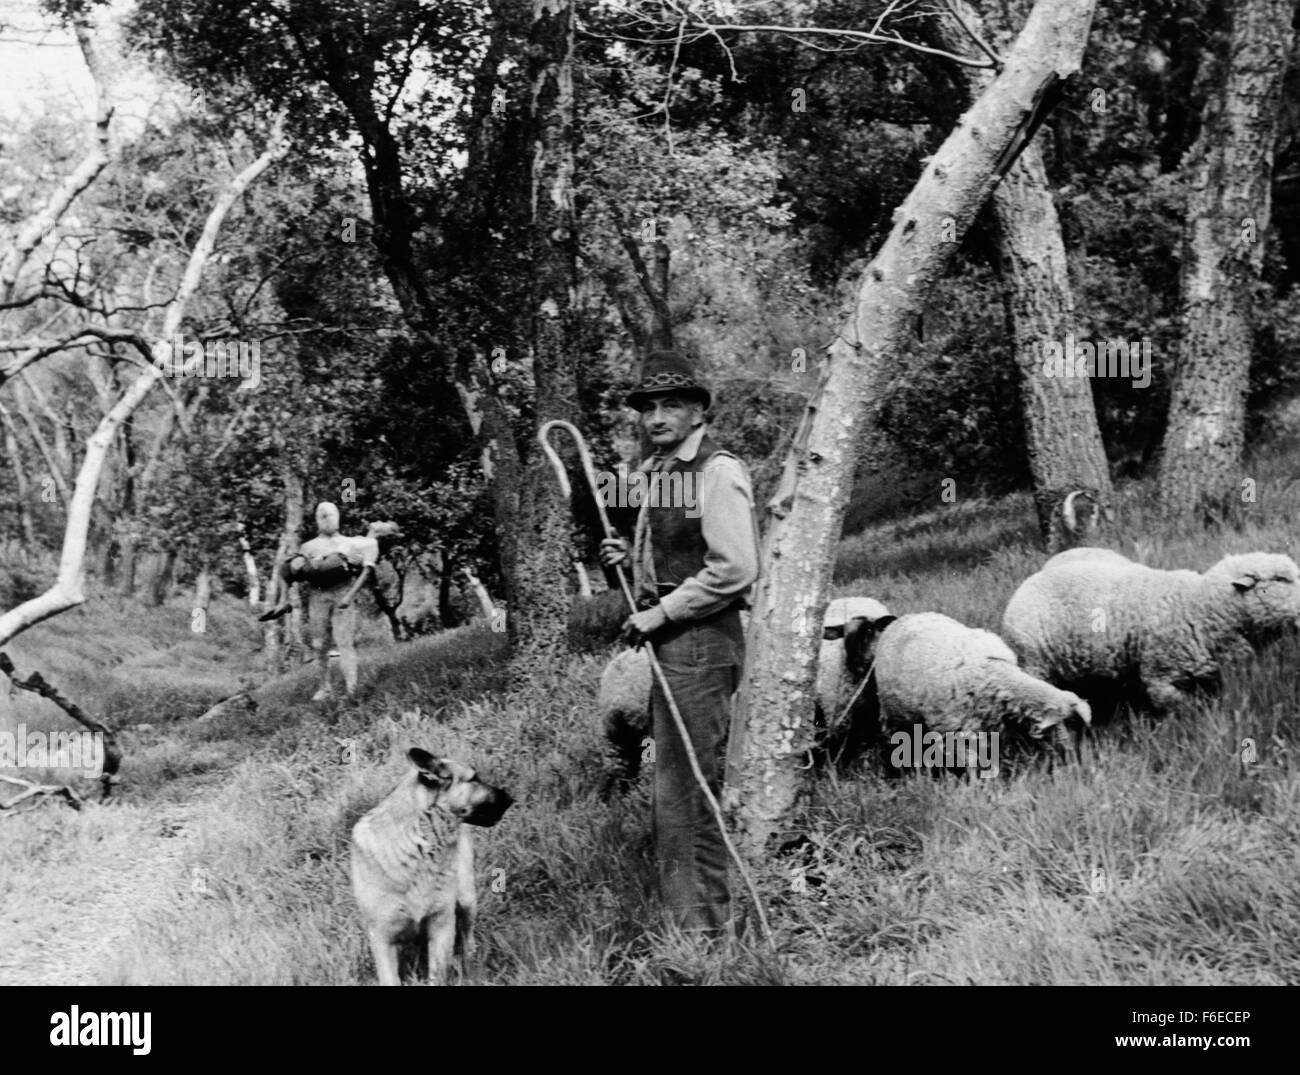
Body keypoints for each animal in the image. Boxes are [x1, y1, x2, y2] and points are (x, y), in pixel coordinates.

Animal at [351, 748, 512, 982]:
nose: (511, 799)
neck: (417, 842)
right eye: (474, 778)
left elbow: (438, 975)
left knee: (467, 937)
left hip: (466, 900)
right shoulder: (382, 938)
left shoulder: (441, 925)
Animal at [868, 613, 1092, 759]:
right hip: (892, 712)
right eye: (1064, 725)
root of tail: (904, 618)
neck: (996, 674)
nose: (1072, 760)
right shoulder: (955, 730)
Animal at [1003, 545, 1300, 712]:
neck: (1197, 606)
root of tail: (1027, 582)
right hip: (1035, 664)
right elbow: (1176, 705)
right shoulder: (1159, 675)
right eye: (1281, 579)